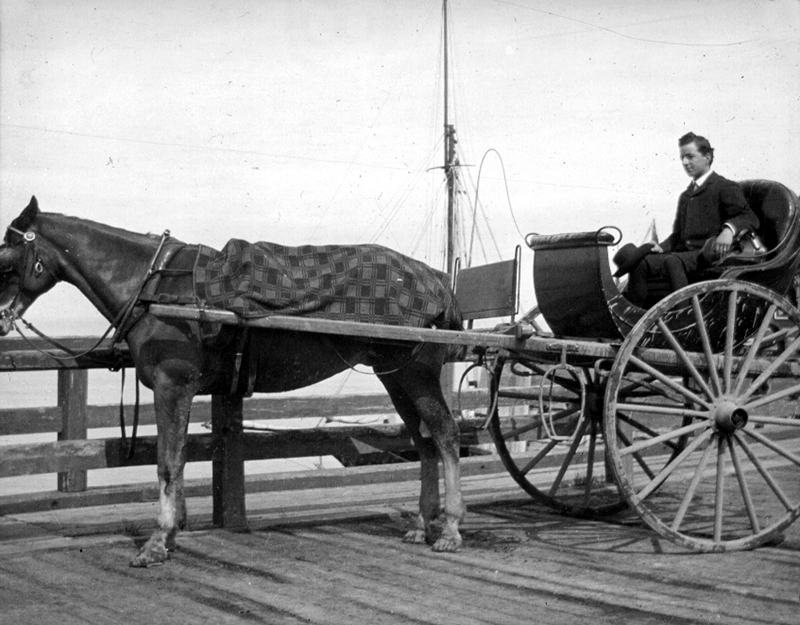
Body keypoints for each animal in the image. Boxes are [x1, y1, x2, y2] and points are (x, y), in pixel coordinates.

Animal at [0, 197, 466, 568]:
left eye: (5, 255)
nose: (1, 318)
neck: (155, 287)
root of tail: (439, 282)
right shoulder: (179, 390)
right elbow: (177, 457)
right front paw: (172, 532)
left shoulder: (173, 385)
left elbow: (168, 462)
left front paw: (157, 541)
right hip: (395, 376)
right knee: (424, 441)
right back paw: (422, 523)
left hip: (416, 373)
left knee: (445, 435)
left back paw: (450, 529)